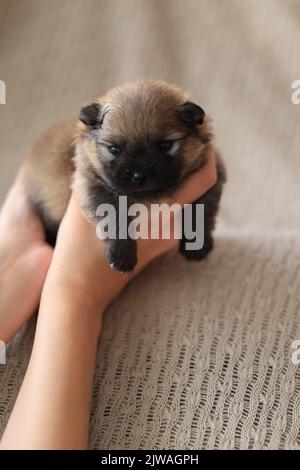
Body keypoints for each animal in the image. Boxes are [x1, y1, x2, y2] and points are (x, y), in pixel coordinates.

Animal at [22, 81, 225, 272]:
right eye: (114, 149)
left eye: (165, 145)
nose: (139, 176)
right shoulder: (93, 186)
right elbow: (115, 215)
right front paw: (121, 254)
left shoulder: (211, 179)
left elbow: (201, 211)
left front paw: (196, 246)